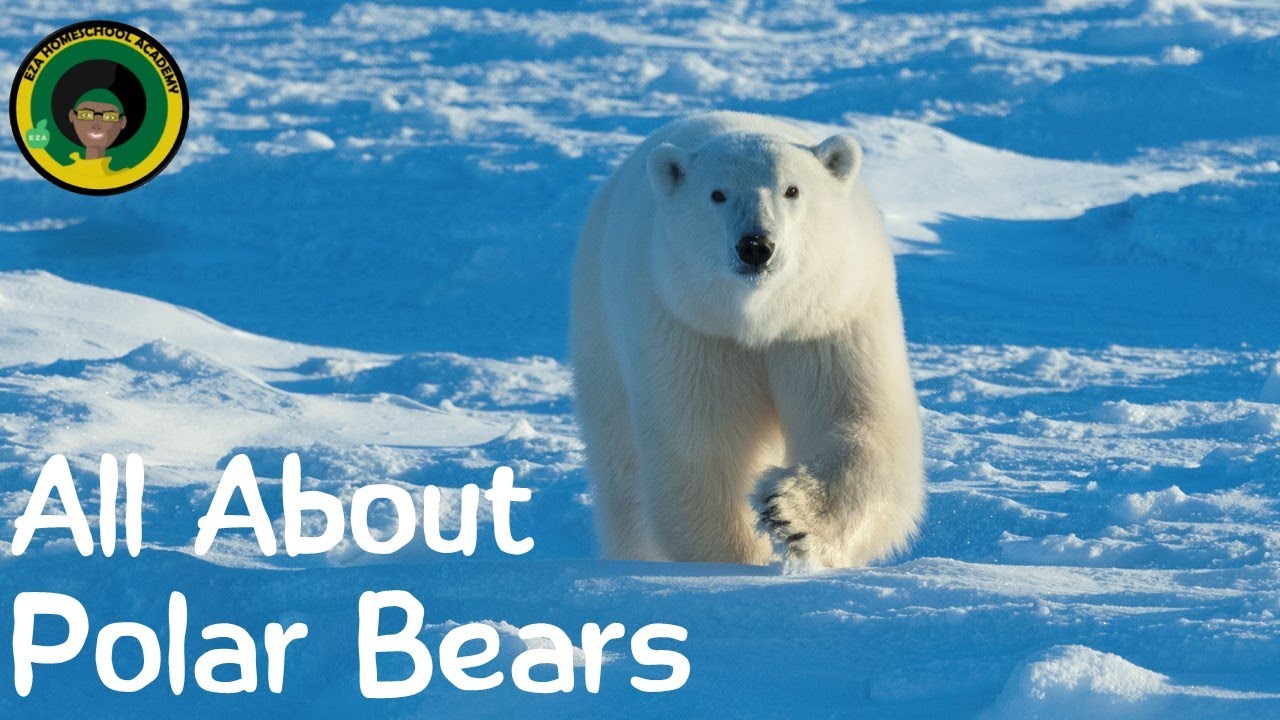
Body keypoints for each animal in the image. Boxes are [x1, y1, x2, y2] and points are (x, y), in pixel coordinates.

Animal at [570, 111, 924, 570]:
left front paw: (788, 515)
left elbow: (857, 419)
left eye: (792, 189)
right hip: (600, 329)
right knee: (620, 466)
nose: (756, 245)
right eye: (717, 194)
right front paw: (736, 558)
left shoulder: (827, 319)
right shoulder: (696, 329)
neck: (762, 319)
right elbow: (706, 444)